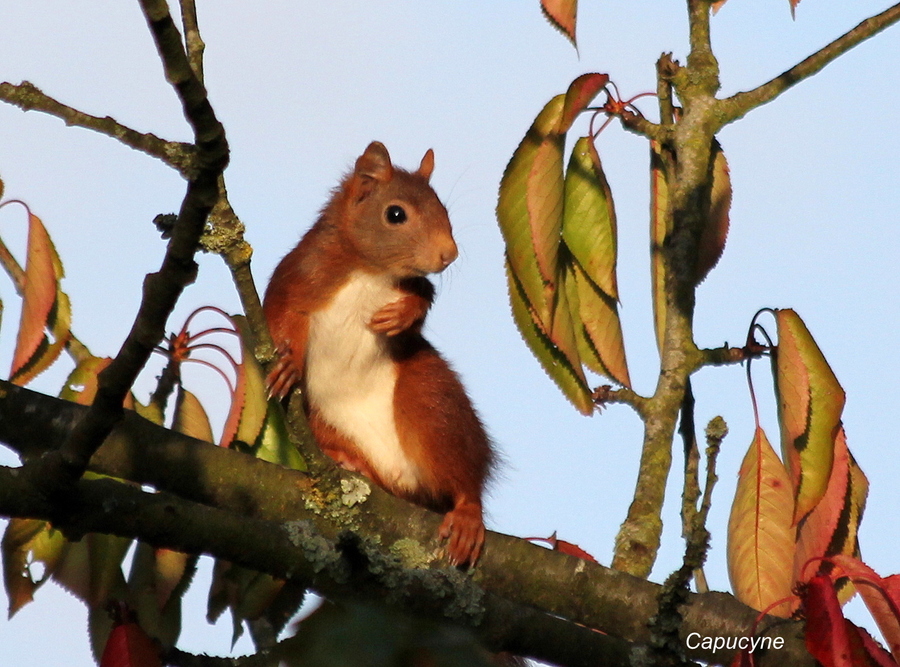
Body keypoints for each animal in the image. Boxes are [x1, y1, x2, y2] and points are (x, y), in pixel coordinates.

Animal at [264, 144, 496, 568]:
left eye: (443, 208)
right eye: (396, 214)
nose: (449, 254)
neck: (370, 269)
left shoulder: (412, 285)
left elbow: (423, 296)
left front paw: (403, 314)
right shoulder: (299, 273)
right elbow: (281, 315)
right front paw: (287, 361)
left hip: (432, 401)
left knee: (463, 477)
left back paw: (468, 512)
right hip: (324, 420)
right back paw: (348, 462)